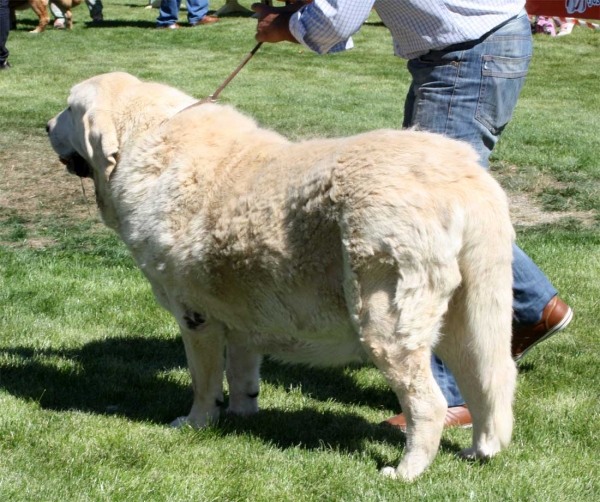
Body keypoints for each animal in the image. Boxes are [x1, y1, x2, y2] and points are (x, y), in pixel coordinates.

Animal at [45, 72, 516, 480]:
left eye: (69, 108)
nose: (46, 124)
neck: (144, 141)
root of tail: (463, 177)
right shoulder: (240, 316)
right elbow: (240, 372)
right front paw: (240, 415)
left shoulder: (195, 317)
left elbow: (203, 379)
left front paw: (196, 422)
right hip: (469, 317)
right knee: (489, 380)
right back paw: (481, 450)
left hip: (385, 319)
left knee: (429, 402)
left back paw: (406, 471)